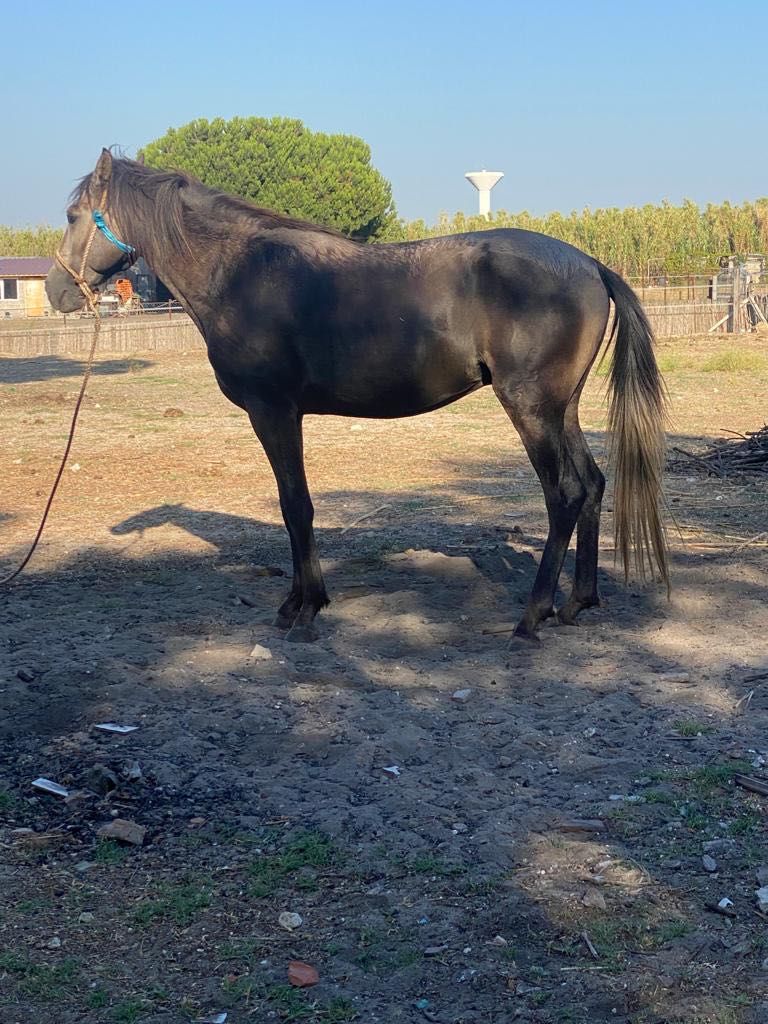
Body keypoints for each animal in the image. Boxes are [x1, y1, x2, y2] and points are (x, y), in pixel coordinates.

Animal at [46, 148, 667, 643]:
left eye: (74, 216)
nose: (55, 292)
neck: (240, 272)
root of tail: (590, 264)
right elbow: (294, 507)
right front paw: (301, 601)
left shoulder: (274, 413)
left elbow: (296, 506)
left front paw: (304, 609)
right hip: (563, 410)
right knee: (592, 485)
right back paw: (577, 602)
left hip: (533, 410)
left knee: (563, 496)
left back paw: (533, 615)